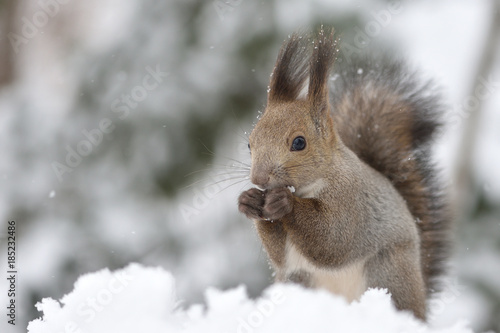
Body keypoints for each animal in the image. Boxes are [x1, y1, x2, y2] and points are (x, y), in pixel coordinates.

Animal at [237, 26, 450, 320]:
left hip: (388, 272)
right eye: (250, 143)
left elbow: (332, 240)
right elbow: (280, 256)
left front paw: (285, 203)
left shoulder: (351, 201)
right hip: (299, 280)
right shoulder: (290, 261)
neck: (312, 184)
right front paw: (248, 201)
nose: (258, 179)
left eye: (299, 143)